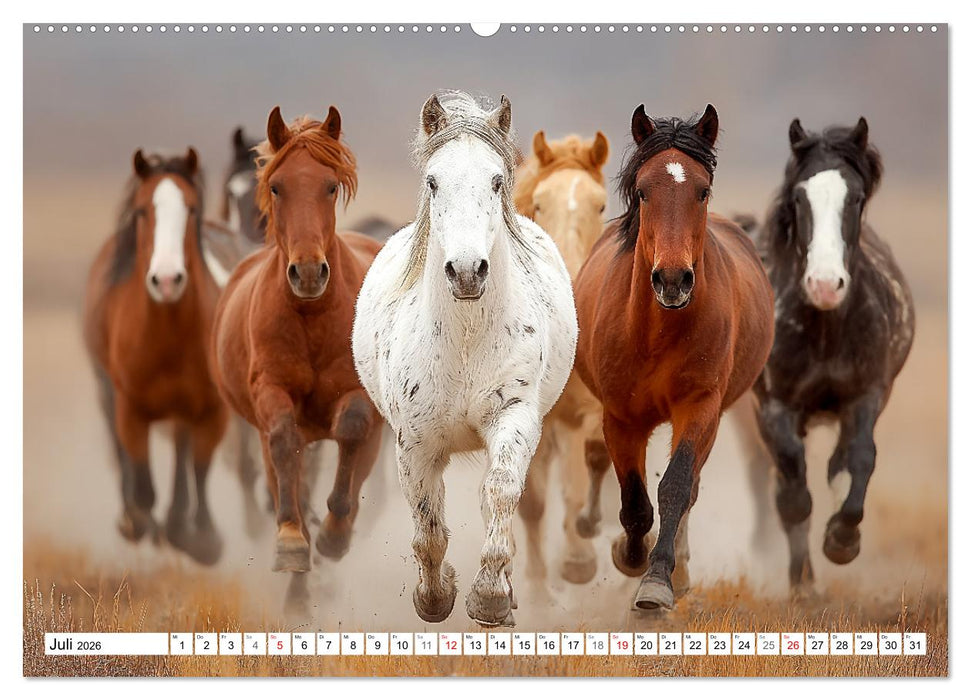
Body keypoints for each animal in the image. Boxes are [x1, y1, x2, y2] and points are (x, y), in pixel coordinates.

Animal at [82, 148, 228, 565]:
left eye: (191, 209)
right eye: (142, 210)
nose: (166, 280)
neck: (167, 334)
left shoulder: (211, 409)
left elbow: (199, 466)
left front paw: (200, 538)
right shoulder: (131, 408)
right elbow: (142, 482)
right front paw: (139, 521)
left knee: (182, 454)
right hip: (107, 390)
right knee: (121, 450)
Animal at [210, 106, 384, 580]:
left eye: (330, 185)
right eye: (276, 186)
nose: (307, 273)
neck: (311, 319)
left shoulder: (356, 395)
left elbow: (352, 430)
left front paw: (335, 533)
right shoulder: (271, 392)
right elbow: (284, 446)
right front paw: (291, 537)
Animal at [352, 92, 577, 626]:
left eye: (496, 180)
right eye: (433, 181)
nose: (468, 271)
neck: (466, 341)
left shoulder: (514, 418)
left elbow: (500, 493)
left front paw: (490, 597)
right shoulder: (414, 443)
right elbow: (428, 526)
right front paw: (435, 597)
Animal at [573, 104, 775, 610]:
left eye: (702, 190)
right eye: (643, 191)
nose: (672, 279)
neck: (657, 333)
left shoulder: (700, 406)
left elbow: (676, 488)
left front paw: (657, 580)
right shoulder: (620, 417)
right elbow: (634, 501)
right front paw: (629, 556)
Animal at [743, 117, 914, 593]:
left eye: (854, 197)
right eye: (800, 197)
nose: (824, 284)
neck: (823, 332)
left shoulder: (865, 396)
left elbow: (857, 461)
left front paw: (842, 540)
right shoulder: (774, 407)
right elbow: (793, 493)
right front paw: (802, 582)